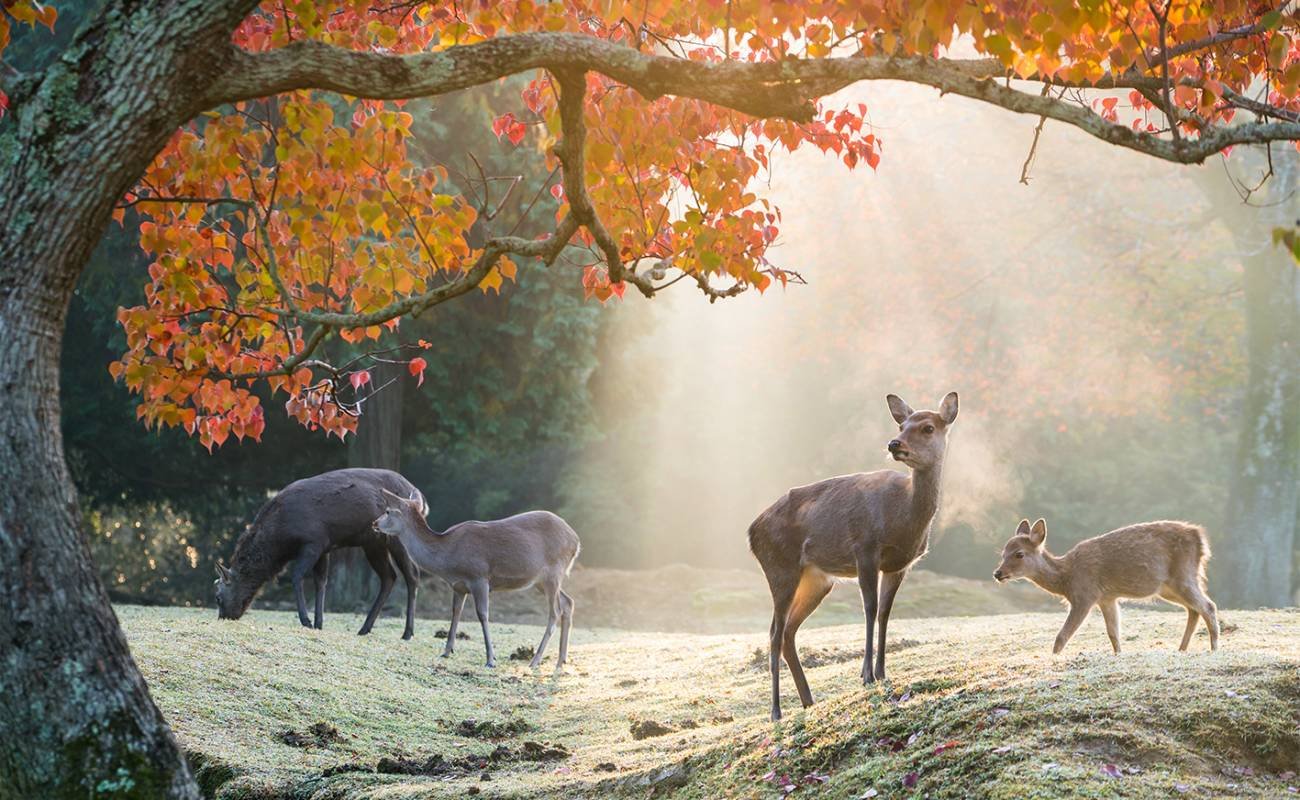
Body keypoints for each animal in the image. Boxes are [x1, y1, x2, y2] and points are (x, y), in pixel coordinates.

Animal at [215, 465, 421, 642]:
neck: (281, 538)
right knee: (389, 576)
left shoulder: (313, 542)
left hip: (398, 537)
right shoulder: (325, 547)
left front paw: (306, 621)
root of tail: (419, 498)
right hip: (373, 543)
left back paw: (407, 633)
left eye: (218, 597)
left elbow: (297, 575)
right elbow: (321, 582)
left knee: (412, 576)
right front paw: (318, 624)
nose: (224, 617)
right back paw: (365, 628)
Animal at [374, 491, 582, 671]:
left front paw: (490, 659)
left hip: (554, 571)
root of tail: (576, 541)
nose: (374, 523)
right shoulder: (458, 586)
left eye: (388, 511)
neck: (447, 560)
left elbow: (482, 614)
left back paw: (535, 660)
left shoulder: (479, 577)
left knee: (555, 612)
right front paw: (446, 651)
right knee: (568, 602)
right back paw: (561, 660)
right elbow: (455, 612)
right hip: (541, 581)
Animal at [748, 390, 961, 723]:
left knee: (788, 632)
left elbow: (885, 612)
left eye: (927, 427)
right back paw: (776, 711)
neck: (903, 520)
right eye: (901, 425)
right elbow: (870, 609)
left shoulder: (899, 565)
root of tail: (751, 532)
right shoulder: (865, 548)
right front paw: (866, 675)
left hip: (817, 580)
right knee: (773, 632)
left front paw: (882, 672)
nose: (894, 444)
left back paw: (808, 700)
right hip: (779, 567)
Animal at [993, 520, 1216, 658]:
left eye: (1019, 554)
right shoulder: (1107, 598)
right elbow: (1113, 633)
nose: (997, 573)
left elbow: (1062, 636)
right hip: (1168, 587)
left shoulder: (1085, 595)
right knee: (1194, 609)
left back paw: (1213, 648)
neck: (1066, 579)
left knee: (1208, 606)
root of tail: (1201, 539)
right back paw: (1182, 649)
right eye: (1003, 553)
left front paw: (1053, 658)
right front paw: (1119, 654)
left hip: (1183, 576)